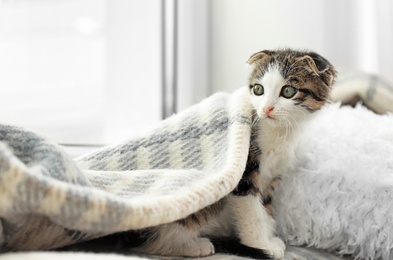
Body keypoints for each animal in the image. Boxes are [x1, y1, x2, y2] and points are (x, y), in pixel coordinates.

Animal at [129, 48, 336, 258]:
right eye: (258, 90)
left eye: (288, 91)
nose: (266, 109)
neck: (280, 132)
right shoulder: (245, 170)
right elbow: (251, 209)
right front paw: (262, 245)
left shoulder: (273, 175)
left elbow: (266, 206)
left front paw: (270, 236)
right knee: (154, 240)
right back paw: (192, 245)